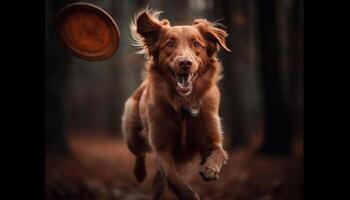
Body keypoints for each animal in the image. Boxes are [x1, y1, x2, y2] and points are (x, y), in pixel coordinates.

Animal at [121, 8, 231, 199]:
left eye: (196, 44)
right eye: (170, 44)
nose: (185, 63)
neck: (183, 103)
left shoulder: (211, 138)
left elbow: (219, 152)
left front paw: (210, 170)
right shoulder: (162, 148)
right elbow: (173, 177)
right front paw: (190, 195)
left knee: (157, 181)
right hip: (132, 135)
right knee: (139, 153)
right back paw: (139, 172)